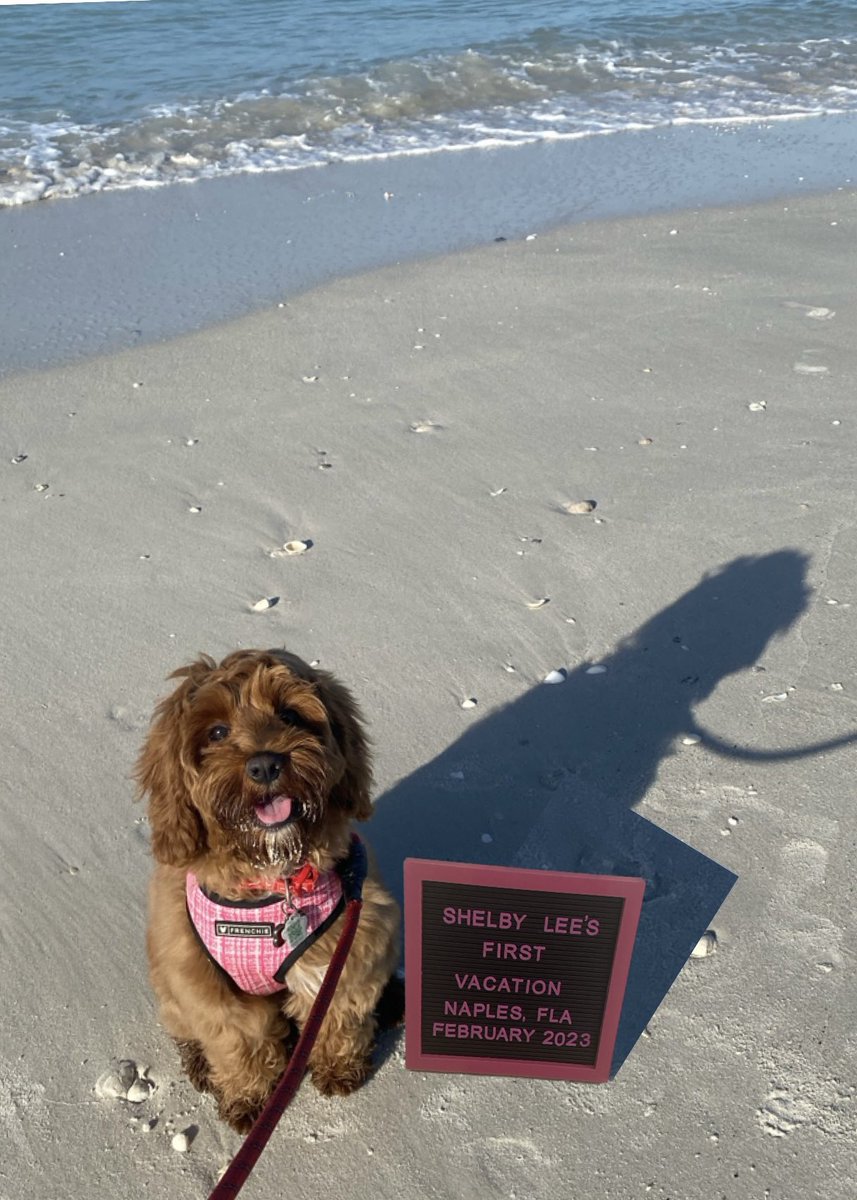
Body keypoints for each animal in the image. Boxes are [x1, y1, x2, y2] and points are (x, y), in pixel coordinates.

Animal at [135, 652, 398, 1128]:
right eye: (217, 732)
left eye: (290, 715)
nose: (265, 765)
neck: (272, 881)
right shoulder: (202, 982)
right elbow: (238, 1042)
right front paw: (248, 1097)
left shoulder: (350, 943)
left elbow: (337, 1010)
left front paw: (338, 1066)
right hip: (170, 988)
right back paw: (198, 1062)